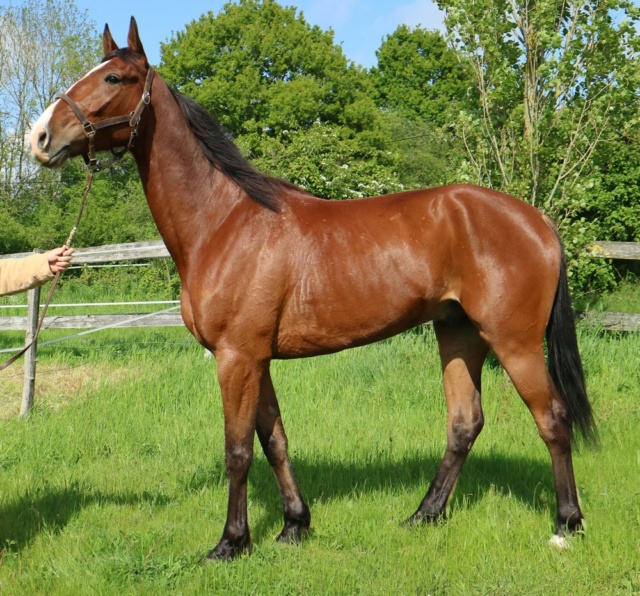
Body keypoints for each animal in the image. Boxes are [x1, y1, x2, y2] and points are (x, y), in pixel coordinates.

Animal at [27, 17, 596, 560]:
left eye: (114, 78)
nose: (38, 138)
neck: (224, 222)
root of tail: (537, 220)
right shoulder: (256, 358)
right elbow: (274, 440)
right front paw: (294, 526)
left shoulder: (236, 358)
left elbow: (238, 450)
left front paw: (231, 543)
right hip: (458, 333)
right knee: (464, 424)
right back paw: (424, 515)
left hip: (514, 342)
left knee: (552, 419)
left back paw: (567, 524)